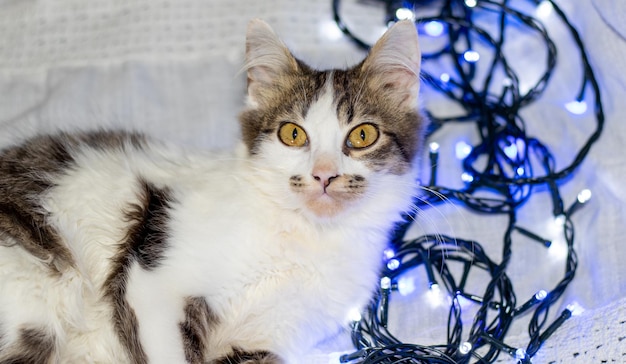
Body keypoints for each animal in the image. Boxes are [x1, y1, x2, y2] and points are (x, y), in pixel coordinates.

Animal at [0, 19, 424, 364]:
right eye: (292, 134)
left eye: (363, 135)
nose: (323, 175)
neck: (308, 237)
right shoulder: (151, 283)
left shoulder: (271, 336)